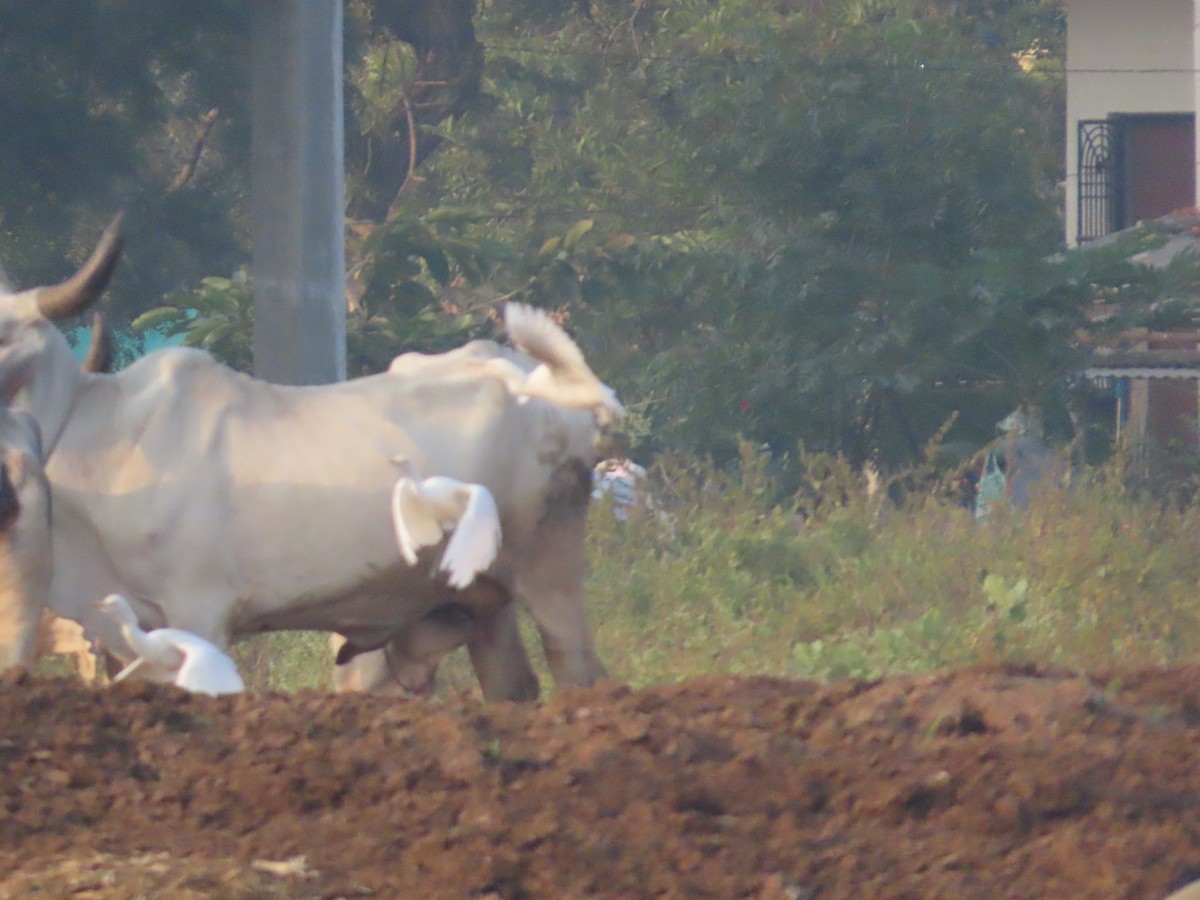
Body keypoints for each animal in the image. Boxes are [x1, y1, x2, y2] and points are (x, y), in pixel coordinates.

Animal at [0, 215, 608, 700]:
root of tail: (559, 389)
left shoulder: (199, 611)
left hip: (550, 574)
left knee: (578, 671)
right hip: (485, 599)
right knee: (513, 687)